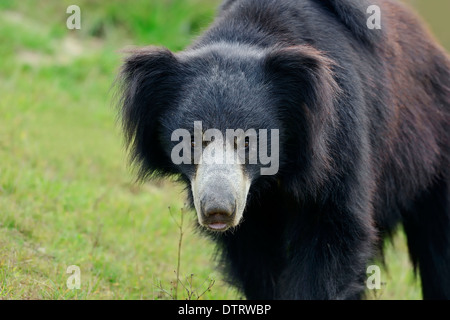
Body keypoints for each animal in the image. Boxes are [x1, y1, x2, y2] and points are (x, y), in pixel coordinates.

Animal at [117, 0, 450, 300]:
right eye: (192, 141)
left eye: (248, 141)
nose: (218, 210)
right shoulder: (250, 217)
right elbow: (255, 258)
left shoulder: (337, 142)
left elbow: (332, 232)